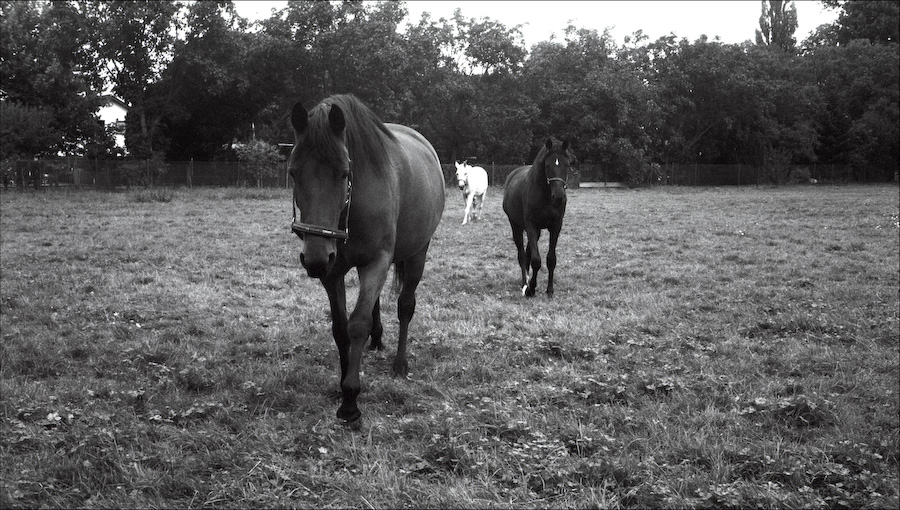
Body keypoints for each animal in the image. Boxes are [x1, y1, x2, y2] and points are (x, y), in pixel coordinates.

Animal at [288, 94, 445, 426]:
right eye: (293, 172)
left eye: (343, 173)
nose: (315, 258)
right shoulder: (333, 272)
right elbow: (340, 328)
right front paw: (342, 382)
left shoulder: (376, 262)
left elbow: (357, 324)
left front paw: (350, 400)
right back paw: (377, 339)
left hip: (417, 255)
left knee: (405, 306)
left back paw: (400, 364)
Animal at [501, 138, 572, 297]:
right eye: (547, 165)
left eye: (567, 164)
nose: (559, 196)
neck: (545, 195)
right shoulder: (531, 226)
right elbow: (536, 260)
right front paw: (531, 289)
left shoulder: (555, 227)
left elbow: (551, 259)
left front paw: (549, 290)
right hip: (516, 226)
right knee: (522, 255)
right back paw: (524, 283)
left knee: (527, 252)